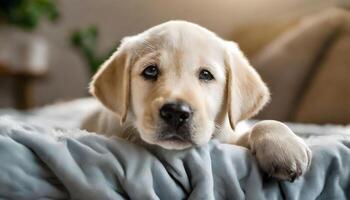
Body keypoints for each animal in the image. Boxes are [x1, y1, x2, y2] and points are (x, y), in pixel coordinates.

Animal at [82, 20, 312, 181]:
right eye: (150, 71)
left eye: (206, 75)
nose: (176, 112)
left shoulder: (230, 134)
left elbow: (263, 124)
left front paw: (283, 148)